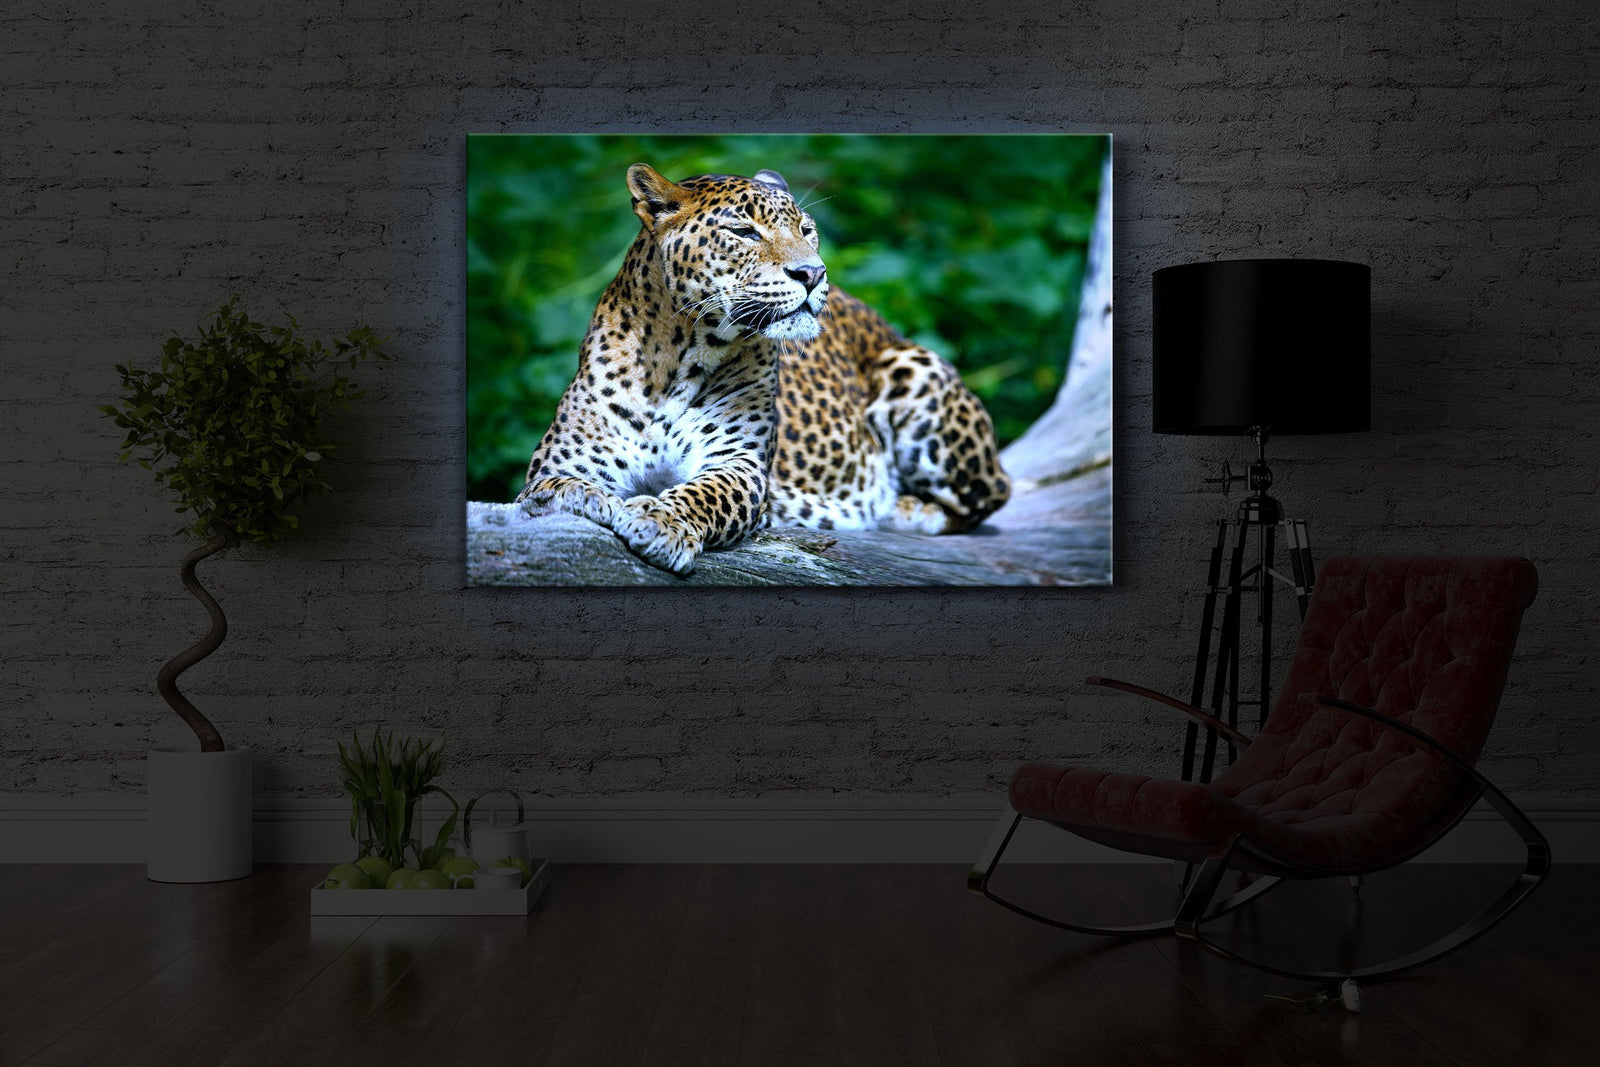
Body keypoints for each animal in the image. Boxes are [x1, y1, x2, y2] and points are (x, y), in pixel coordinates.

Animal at [513, 163, 1011, 576]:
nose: (813, 273)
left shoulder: (739, 464)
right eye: (743, 231)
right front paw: (579, 496)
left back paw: (906, 509)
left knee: (991, 493)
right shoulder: (562, 459)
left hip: (914, 367)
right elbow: (550, 486)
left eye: (807, 230)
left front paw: (661, 521)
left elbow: (703, 494)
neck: (676, 361)